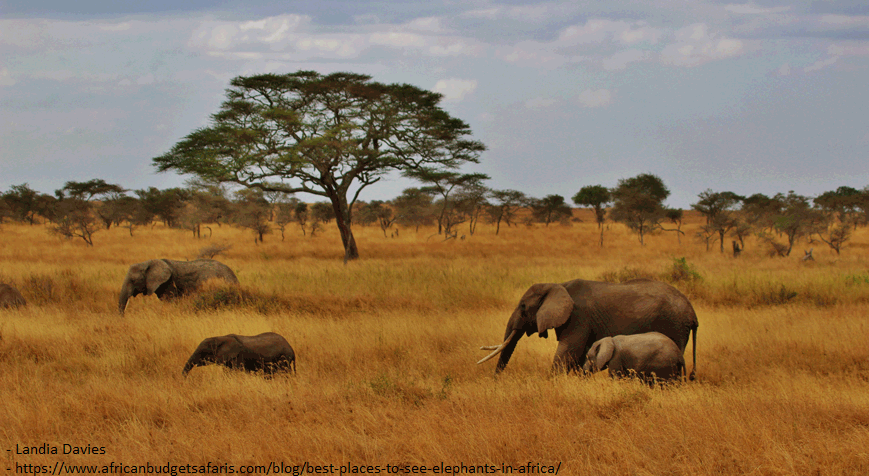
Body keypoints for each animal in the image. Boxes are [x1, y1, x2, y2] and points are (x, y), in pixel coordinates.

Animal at [478, 278, 696, 378]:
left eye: (523, 307)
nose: (496, 380)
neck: (557, 285)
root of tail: (693, 315)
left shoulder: (578, 317)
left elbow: (567, 353)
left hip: (675, 325)